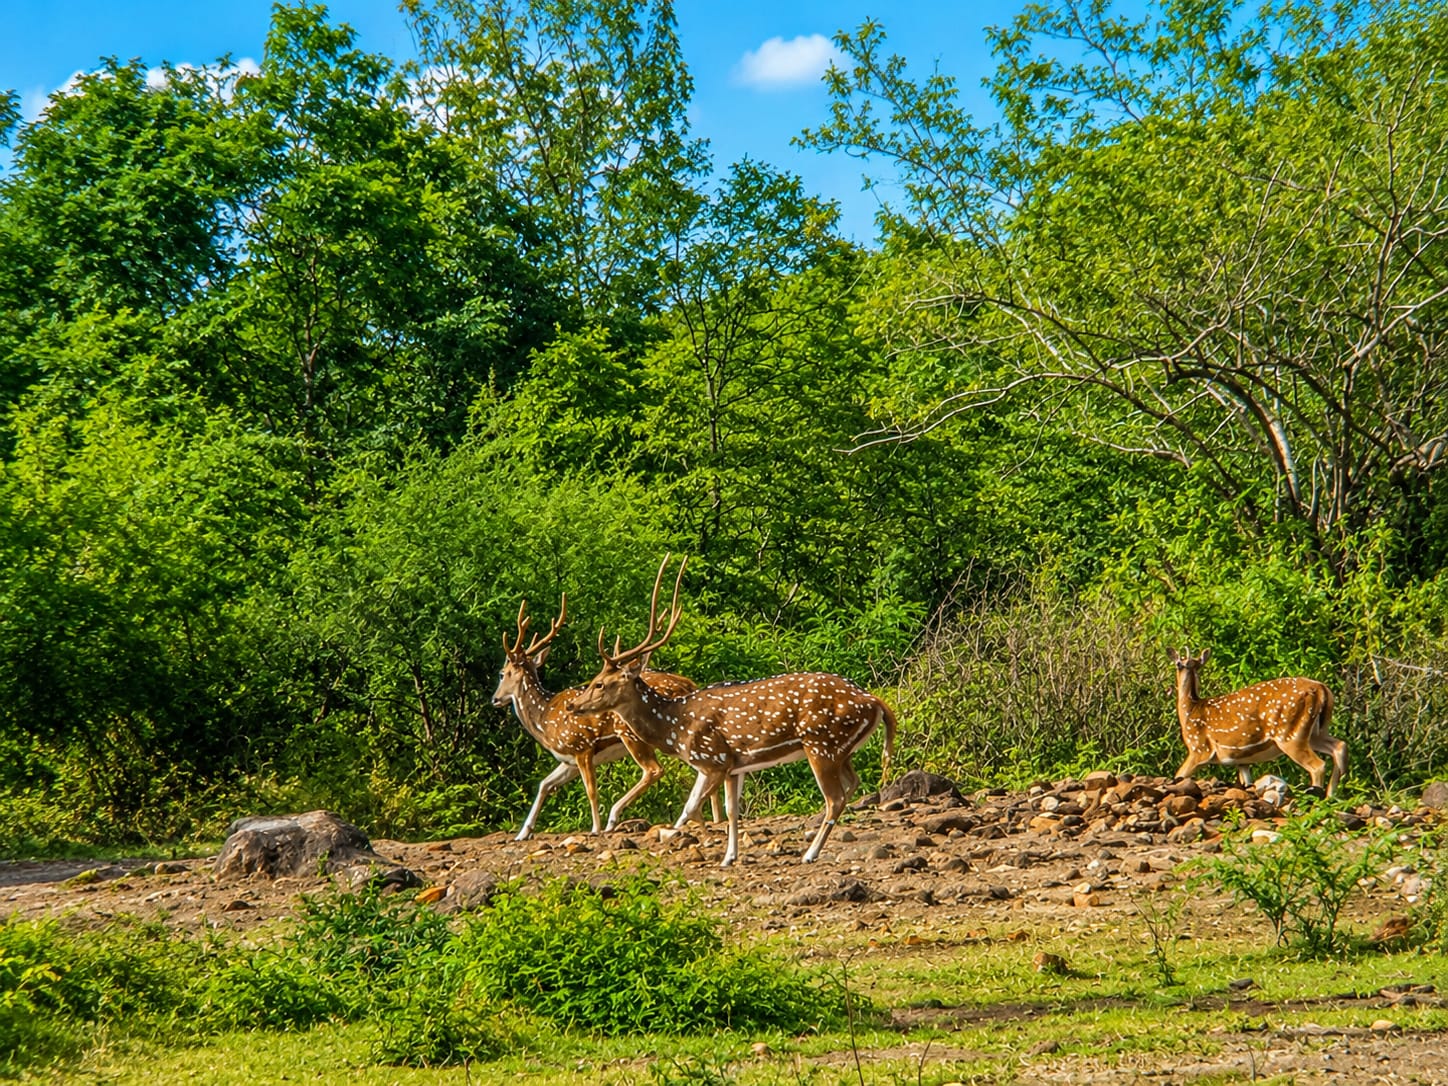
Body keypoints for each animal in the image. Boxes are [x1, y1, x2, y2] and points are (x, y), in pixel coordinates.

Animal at [492, 595, 718, 840]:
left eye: (502, 674)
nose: (495, 699)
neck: (544, 721)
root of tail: (689, 685)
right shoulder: (569, 759)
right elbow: (545, 784)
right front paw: (522, 833)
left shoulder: (581, 744)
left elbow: (591, 790)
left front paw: (595, 828)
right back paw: (714, 819)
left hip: (631, 734)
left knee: (654, 770)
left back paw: (616, 818)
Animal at [566, 556, 897, 867]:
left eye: (599, 683)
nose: (572, 705)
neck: (675, 729)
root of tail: (875, 702)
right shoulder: (730, 765)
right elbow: (729, 810)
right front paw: (728, 856)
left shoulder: (713, 758)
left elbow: (693, 807)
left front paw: (684, 838)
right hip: (842, 749)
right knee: (853, 783)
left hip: (821, 744)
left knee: (834, 798)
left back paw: (810, 853)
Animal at [1168, 647, 1348, 797]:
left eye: (1178, 663)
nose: (1184, 665)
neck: (1190, 709)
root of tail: (1322, 689)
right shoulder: (1241, 760)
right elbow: (1247, 781)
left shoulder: (1199, 749)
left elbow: (1179, 775)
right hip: (1316, 732)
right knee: (1339, 746)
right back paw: (1332, 795)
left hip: (1289, 734)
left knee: (1318, 765)